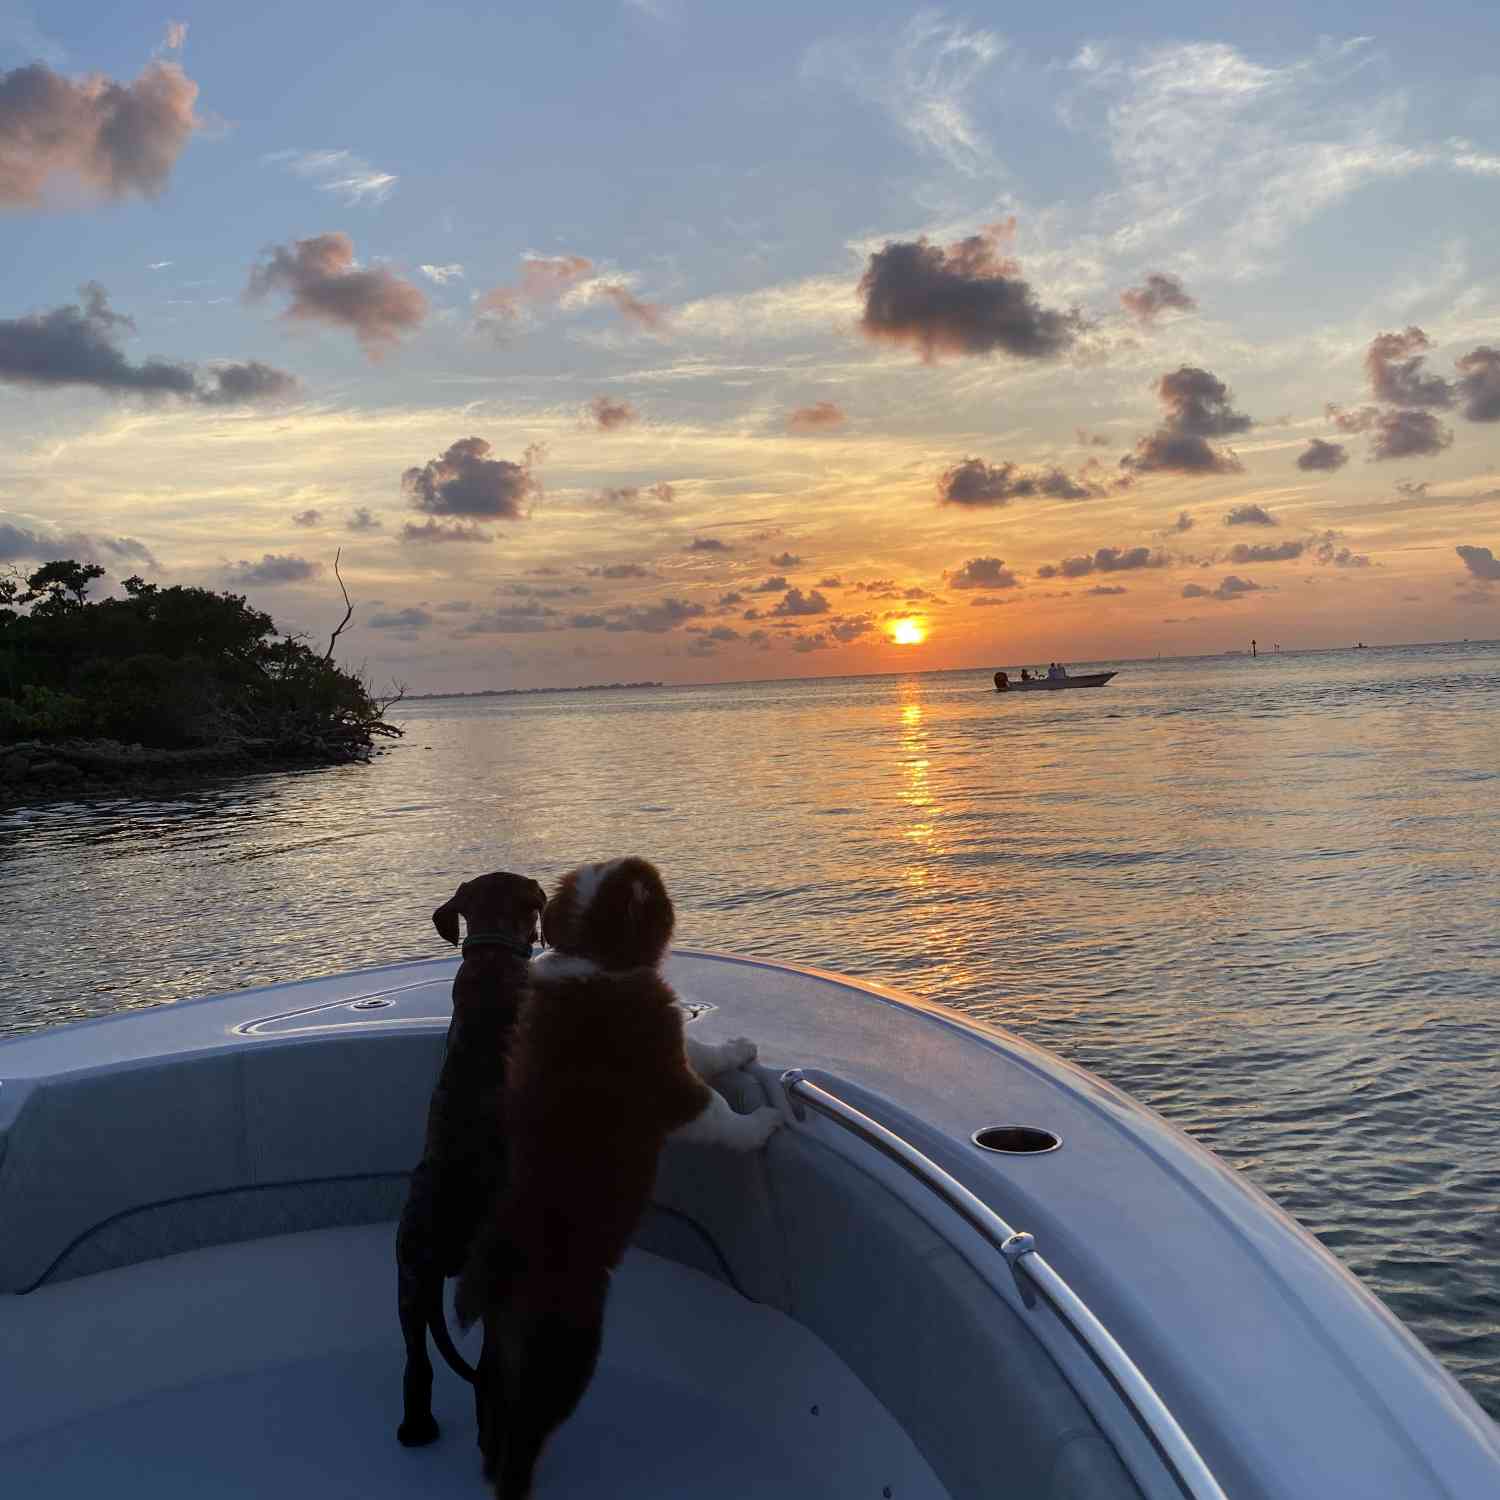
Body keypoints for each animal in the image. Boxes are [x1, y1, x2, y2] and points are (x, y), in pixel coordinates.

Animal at [396, 876, 549, 1446]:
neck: (491, 954)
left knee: (418, 1363)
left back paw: (416, 1427)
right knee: (488, 1372)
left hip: (410, 1280)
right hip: (497, 1289)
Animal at [453, 864, 786, 1494]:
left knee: (494, 1418)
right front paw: (762, 1124)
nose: (645, 867)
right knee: (525, 1436)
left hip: (502, 1358)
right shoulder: (667, 1083)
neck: (596, 958)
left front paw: (738, 1046)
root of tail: (497, 1268)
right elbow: (719, 1114)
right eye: (651, 895)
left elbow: (704, 1050)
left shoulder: (673, 1048)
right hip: (566, 1348)